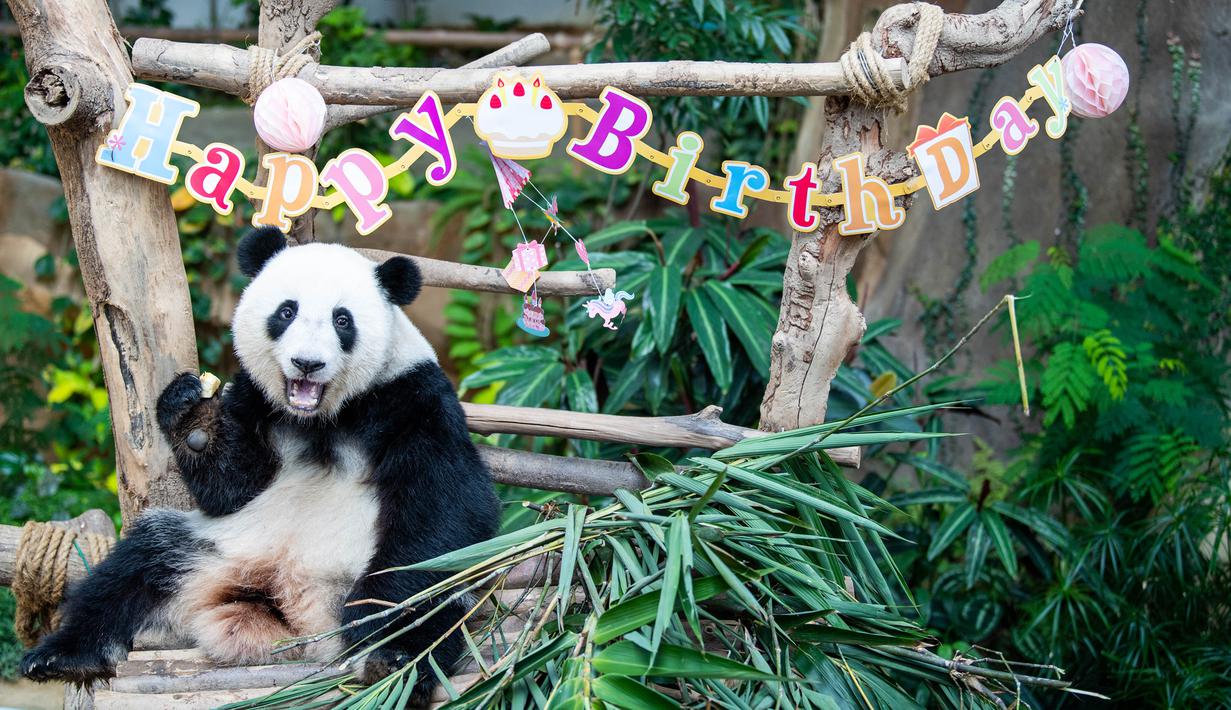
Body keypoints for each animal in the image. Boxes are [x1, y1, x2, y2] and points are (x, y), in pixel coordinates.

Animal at [21, 227, 500, 705]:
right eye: (286, 312)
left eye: (342, 320)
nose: (307, 363)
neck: (321, 417)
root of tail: (285, 611)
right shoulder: (254, 399)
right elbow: (231, 487)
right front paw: (194, 419)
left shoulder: (413, 399)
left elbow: (449, 509)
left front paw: (375, 616)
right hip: (214, 547)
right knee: (134, 569)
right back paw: (61, 656)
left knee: (437, 608)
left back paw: (393, 660)